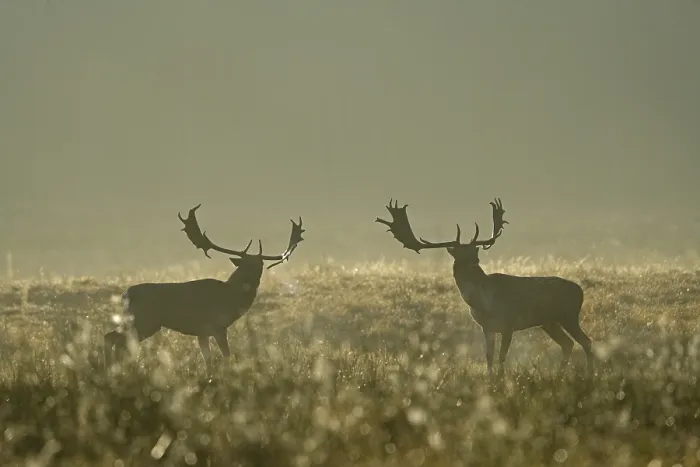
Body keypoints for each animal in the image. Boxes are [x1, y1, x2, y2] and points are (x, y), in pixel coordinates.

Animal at [104, 204, 305, 370]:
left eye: (260, 266)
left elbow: (207, 359)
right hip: (145, 320)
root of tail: (125, 294)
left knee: (112, 338)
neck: (230, 298)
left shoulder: (202, 332)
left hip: (140, 321)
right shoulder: (217, 326)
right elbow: (226, 356)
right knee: (115, 340)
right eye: (244, 264)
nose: (252, 282)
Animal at [375, 198, 593, 375]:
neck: (483, 302)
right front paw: (490, 380)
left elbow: (502, 357)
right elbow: (489, 357)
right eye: (461, 253)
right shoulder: (487, 327)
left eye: (474, 250)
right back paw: (561, 374)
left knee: (585, 341)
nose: (476, 260)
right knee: (568, 343)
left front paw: (501, 379)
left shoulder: (509, 323)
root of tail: (580, 291)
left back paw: (591, 373)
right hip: (550, 322)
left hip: (568, 315)